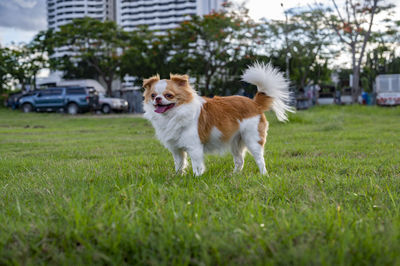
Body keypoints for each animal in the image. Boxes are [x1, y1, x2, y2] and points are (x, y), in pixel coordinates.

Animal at [142, 61, 292, 175]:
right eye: (153, 95)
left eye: (169, 95)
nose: (157, 99)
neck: (174, 114)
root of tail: (254, 103)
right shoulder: (176, 149)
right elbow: (179, 164)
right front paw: (178, 176)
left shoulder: (194, 147)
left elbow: (197, 165)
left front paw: (196, 178)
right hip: (235, 142)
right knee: (239, 160)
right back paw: (234, 175)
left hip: (252, 139)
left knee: (260, 159)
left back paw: (263, 175)